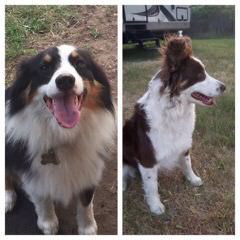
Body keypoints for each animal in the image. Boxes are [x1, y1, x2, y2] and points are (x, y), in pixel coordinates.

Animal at [4, 44, 115, 233]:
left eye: (80, 63)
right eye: (44, 67)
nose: (65, 80)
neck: (63, 135)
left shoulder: (90, 168)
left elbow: (85, 202)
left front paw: (87, 229)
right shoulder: (32, 171)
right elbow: (42, 198)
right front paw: (48, 223)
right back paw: (7, 197)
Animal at [123, 35, 226, 214]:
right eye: (200, 75)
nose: (224, 87)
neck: (174, 110)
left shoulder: (184, 143)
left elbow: (187, 163)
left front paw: (193, 179)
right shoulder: (147, 158)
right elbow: (151, 185)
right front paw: (155, 205)